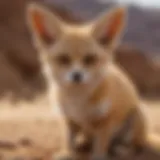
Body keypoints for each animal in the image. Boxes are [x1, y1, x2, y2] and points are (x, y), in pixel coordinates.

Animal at [26, 2, 160, 160]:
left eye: (89, 59)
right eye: (64, 59)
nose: (76, 75)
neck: (78, 102)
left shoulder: (106, 121)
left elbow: (100, 145)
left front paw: (98, 156)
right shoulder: (68, 119)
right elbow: (68, 140)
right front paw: (67, 153)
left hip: (137, 117)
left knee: (135, 146)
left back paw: (121, 149)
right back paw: (83, 144)